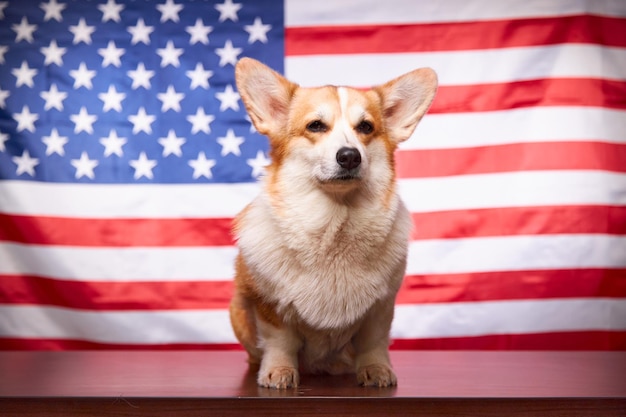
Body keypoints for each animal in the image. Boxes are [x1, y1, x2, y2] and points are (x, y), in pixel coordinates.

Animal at [228, 57, 434, 386]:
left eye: (365, 127)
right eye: (315, 126)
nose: (349, 156)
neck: (334, 223)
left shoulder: (381, 307)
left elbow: (373, 341)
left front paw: (376, 369)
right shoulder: (269, 305)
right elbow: (280, 341)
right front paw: (279, 371)